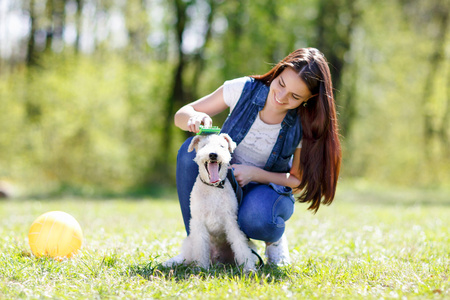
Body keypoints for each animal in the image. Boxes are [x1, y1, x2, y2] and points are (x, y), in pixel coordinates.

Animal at [164, 134, 256, 272]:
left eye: (222, 146)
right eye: (204, 146)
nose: (213, 154)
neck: (213, 187)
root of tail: (217, 259)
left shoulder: (231, 221)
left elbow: (240, 245)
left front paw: (249, 268)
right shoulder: (198, 222)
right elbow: (201, 247)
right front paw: (202, 268)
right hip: (189, 245)